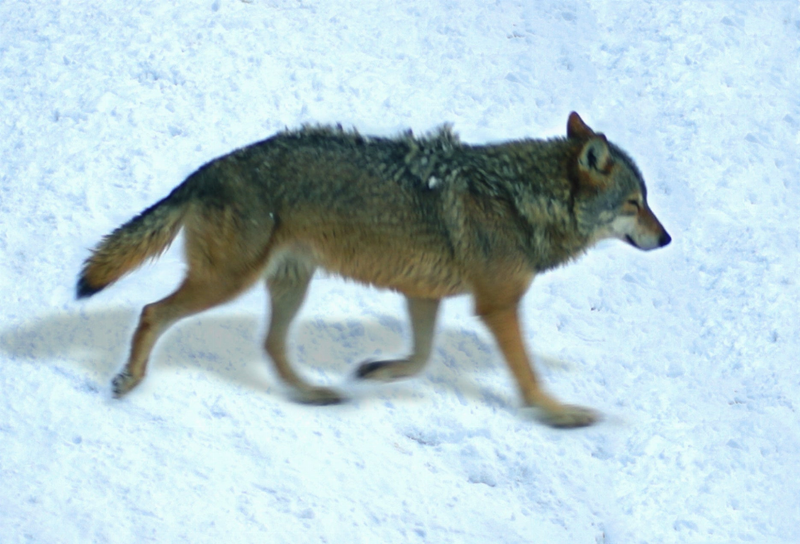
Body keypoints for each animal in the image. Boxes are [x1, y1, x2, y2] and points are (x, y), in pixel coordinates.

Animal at [77, 112, 670, 428]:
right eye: (635, 203)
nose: (666, 238)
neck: (523, 199)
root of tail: (206, 171)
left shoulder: (423, 293)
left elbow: (421, 356)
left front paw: (377, 371)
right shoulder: (498, 305)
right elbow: (528, 377)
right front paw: (559, 415)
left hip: (288, 283)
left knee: (270, 345)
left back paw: (314, 395)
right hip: (226, 283)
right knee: (152, 312)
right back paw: (128, 379)